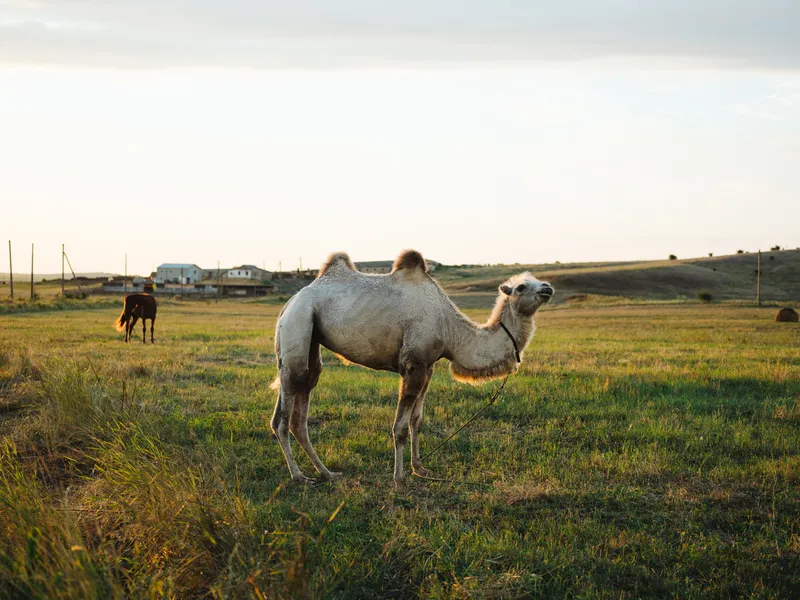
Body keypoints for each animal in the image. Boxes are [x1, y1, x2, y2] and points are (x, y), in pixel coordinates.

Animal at [270, 250, 554, 484]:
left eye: (537, 280)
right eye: (521, 287)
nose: (548, 288)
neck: (450, 330)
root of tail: (291, 301)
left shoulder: (427, 367)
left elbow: (417, 421)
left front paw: (419, 468)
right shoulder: (413, 364)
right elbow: (400, 427)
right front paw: (399, 478)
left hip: (310, 340)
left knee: (301, 405)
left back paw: (326, 473)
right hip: (298, 323)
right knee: (284, 413)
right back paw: (299, 476)